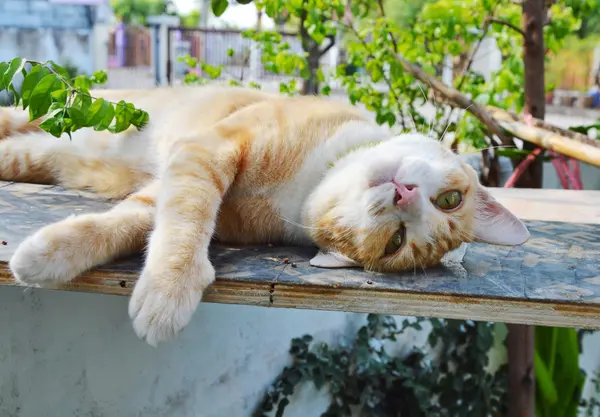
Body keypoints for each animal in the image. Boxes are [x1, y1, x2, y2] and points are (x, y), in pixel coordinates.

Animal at [0, 84, 528, 344]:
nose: (406, 194)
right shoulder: (208, 151)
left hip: (42, 154)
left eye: (396, 242)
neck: (309, 177)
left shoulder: (182, 185)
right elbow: (186, 219)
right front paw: (169, 290)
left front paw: (46, 257)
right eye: (450, 200)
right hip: (47, 113)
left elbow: (137, 220)